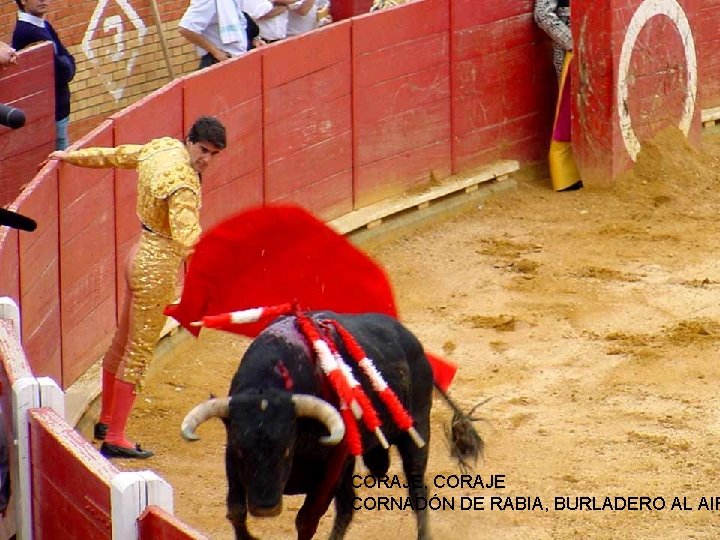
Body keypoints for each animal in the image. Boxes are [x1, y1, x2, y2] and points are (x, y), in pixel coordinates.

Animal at [181, 312, 484, 540]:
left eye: (286, 450)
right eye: (242, 451)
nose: (266, 508)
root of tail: (415, 345)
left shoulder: (331, 468)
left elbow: (306, 519)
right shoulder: (232, 456)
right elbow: (235, 509)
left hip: (416, 430)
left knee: (417, 490)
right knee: (348, 506)